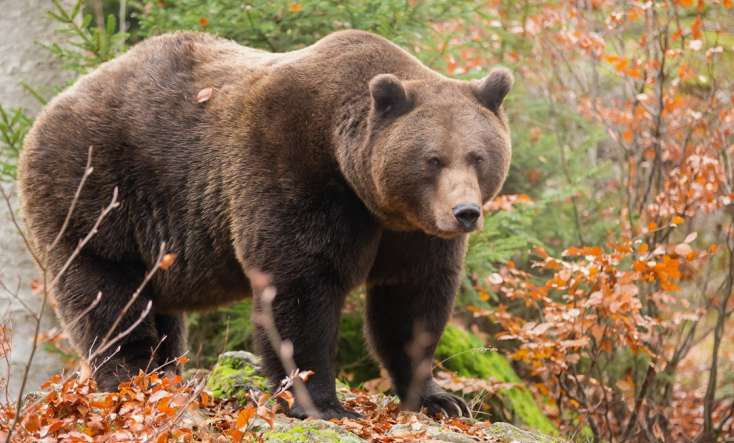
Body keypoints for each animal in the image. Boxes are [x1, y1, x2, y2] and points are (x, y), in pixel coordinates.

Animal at [17, 30, 512, 420]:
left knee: (157, 306)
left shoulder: (410, 232)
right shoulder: (292, 170)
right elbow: (299, 286)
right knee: (106, 292)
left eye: (478, 156)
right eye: (432, 159)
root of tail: (50, 108)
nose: (465, 212)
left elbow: (412, 302)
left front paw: (440, 398)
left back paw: (166, 374)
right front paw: (322, 403)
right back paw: (132, 379)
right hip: (96, 190)